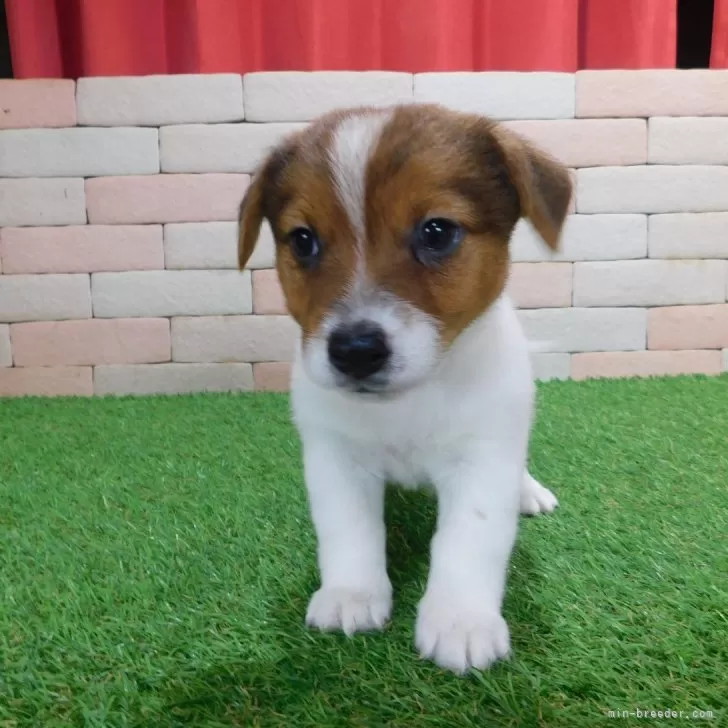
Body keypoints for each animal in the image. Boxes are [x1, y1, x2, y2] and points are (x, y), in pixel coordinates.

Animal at [236, 104, 572, 676]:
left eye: (436, 232)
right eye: (302, 240)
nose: (354, 350)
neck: (409, 402)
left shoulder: (483, 458)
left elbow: (470, 539)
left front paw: (460, 620)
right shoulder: (334, 457)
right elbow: (348, 531)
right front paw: (350, 593)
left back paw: (527, 491)